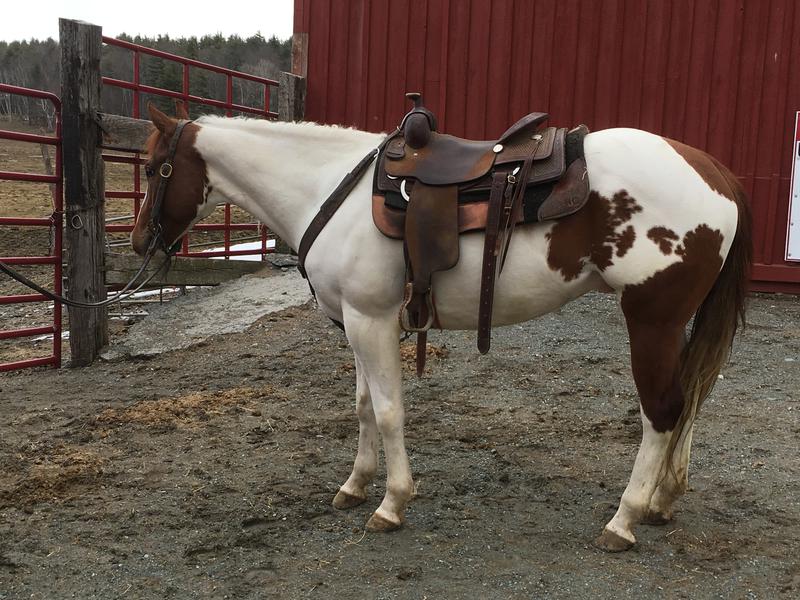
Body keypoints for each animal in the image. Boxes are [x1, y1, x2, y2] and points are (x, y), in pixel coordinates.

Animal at [131, 104, 751, 552]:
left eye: (155, 168)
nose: (138, 243)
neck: (326, 189)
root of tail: (715, 172)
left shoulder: (371, 320)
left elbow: (387, 411)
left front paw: (391, 503)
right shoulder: (356, 321)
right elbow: (362, 407)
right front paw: (355, 485)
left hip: (652, 319)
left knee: (662, 412)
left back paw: (624, 520)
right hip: (673, 325)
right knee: (690, 400)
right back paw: (664, 501)